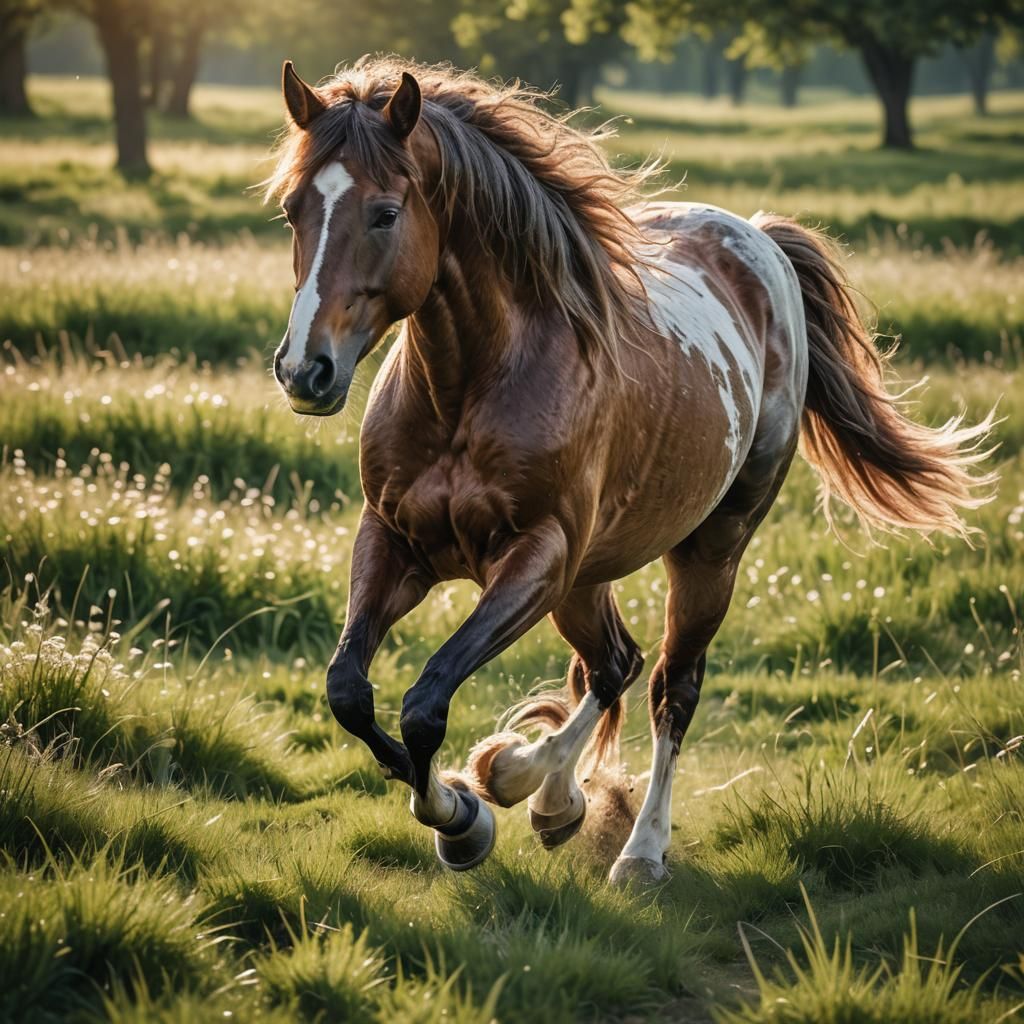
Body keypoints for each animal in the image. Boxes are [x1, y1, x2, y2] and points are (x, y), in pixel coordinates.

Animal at [267, 57, 994, 883]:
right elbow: (350, 693)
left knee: (669, 685)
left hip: (707, 552)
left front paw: (461, 818)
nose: (305, 371)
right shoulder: (392, 541)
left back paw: (635, 848)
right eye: (293, 209)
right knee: (614, 662)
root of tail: (762, 242)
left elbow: (425, 702)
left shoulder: (538, 556)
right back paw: (547, 796)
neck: (473, 389)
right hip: (589, 574)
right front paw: (479, 802)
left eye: (385, 213)